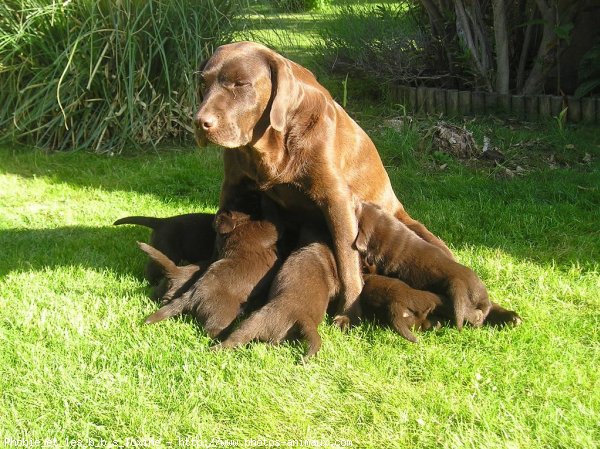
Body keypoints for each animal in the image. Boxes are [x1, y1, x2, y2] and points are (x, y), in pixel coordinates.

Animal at [192, 42, 450, 328]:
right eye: (203, 83)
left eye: (241, 84)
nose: (200, 122)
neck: (273, 144)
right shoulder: (232, 186)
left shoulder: (336, 199)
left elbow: (347, 260)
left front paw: (349, 312)